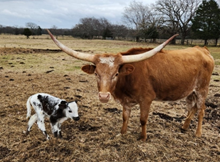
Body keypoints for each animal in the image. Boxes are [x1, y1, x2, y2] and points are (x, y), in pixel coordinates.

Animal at [47, 29, 214, 141]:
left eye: (116, 74)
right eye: (96, 74)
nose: (104, 96)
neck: (128, 79)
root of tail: (202, 49)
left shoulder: (146, 99)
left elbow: (143, 119)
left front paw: (143, 137)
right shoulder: (126, 101)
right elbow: (125, 117)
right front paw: (122, 133)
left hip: (202, 89)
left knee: (201, 110)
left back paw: (198, 133)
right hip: (190, 91)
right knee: (192, 107)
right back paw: (184, 126)